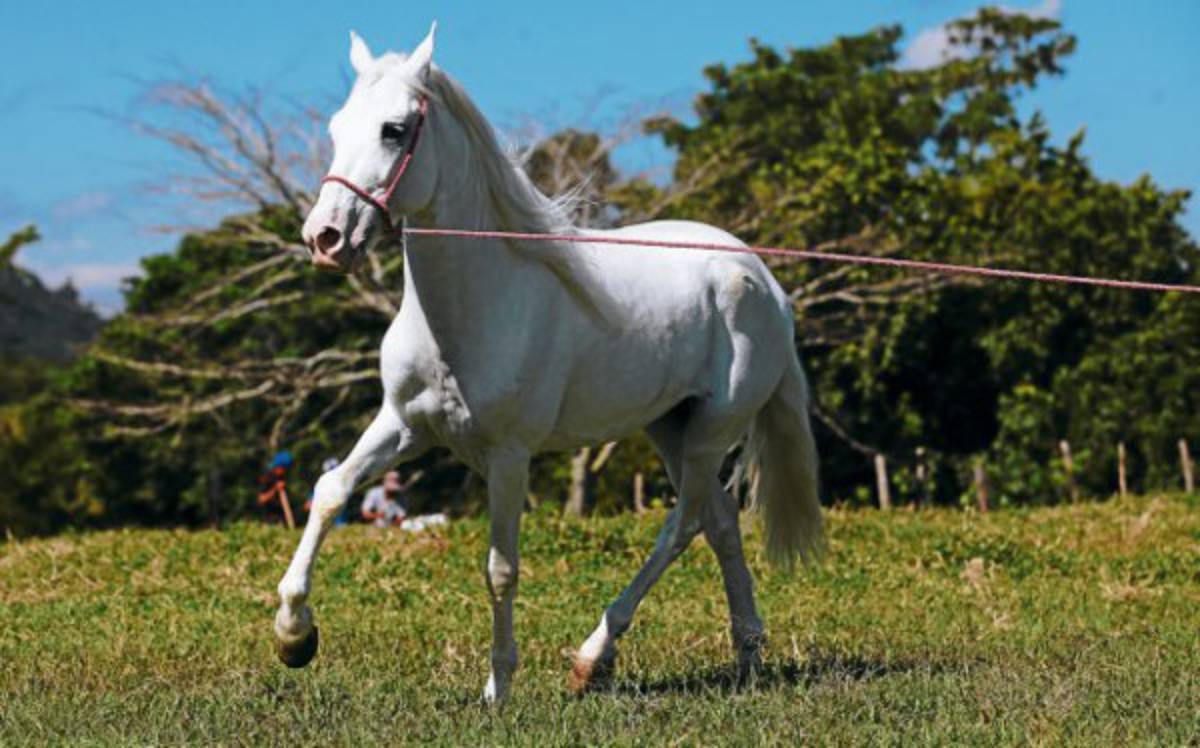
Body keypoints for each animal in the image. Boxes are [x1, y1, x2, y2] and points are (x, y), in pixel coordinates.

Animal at [273, 23, 822, 704]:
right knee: (718, 522)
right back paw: (745, 654)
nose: (324, 238)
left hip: (711, 431)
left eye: (394, 130)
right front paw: (294, 636)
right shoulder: (403, 425)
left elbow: (501, 568)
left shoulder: (509, 456)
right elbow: (329, 491)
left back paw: (595, 656)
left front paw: (498, 688)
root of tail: (764, 279)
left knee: (685, 523)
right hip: (670, 425)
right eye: (337, 126)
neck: (474, 306)